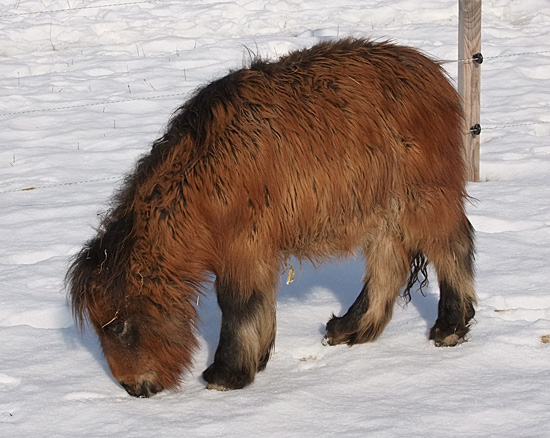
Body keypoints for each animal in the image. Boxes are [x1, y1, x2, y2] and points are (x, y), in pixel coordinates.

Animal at [66, 38, 478, 396]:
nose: (133, 388)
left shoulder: (244, 246)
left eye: (119, 326)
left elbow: (238, 305)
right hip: (380, 211)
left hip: (424, 197)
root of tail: (431, 71)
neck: (206, 171)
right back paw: (352, 327)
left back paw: (450, 326)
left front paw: (227, 372)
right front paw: (256, 359)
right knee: (387, 265)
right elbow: (259, 302)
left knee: (451, 247)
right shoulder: (255, 248)